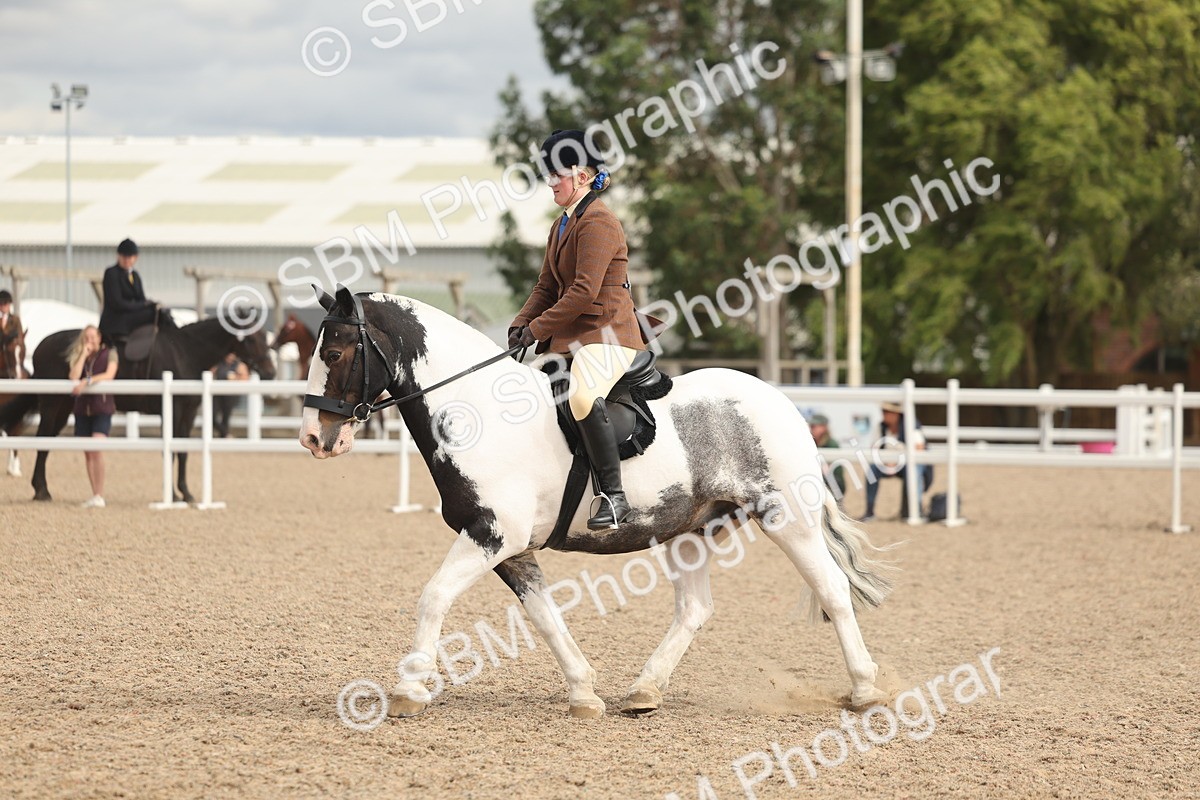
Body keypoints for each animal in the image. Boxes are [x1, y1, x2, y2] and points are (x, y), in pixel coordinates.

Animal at [0, 316, 276, 502]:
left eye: (266, 338)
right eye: (252, 339)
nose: (271, 372)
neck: (185, 353)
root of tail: (41, 346)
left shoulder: (189, 412)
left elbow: (183, 452)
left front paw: (186, 493)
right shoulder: (172, 411)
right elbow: (170, 451)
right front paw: (172, 495)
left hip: (65, 407)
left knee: (48, 442)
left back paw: (41, 489)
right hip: (51, 403)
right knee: (42, 441)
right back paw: (41, 491)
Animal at [300, 286, 895, 718]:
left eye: (333, 352)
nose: (313, 438)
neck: (476, 410)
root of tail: (780, 400)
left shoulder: (491, 536)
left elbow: (433, 597)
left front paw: (409, 689)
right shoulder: (511, 549)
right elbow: (543, 618)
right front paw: (585, 694)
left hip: (786, 519)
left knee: (833, 589)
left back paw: (865, 691)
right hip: (689, 533)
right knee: (694, 609)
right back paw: (644, 691)